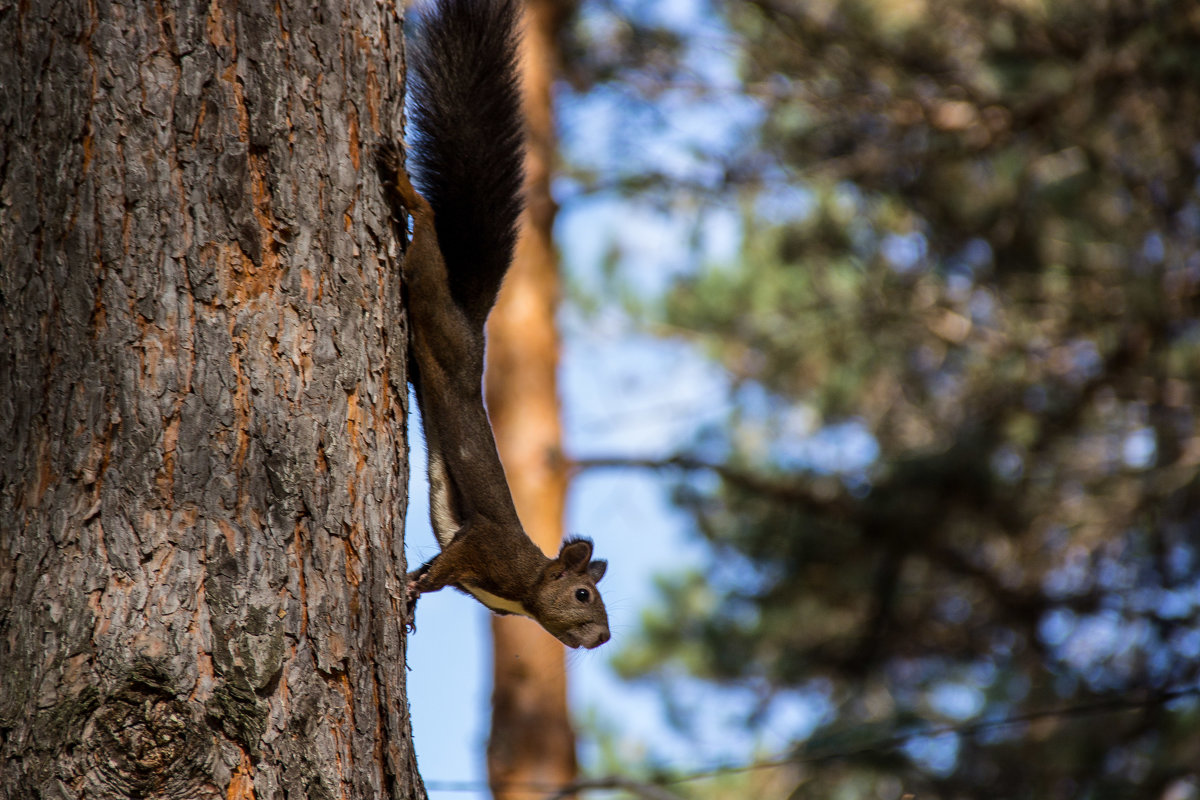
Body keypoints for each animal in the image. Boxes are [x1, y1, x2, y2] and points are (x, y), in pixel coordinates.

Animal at [379, 0, 614, 652]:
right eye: (583, 595)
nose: (603, 638)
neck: (527, 588)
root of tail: (474, 325)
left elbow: (437, 574)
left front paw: (412, 595)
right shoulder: (486, 548)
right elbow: (444, 566)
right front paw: (411, 588)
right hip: (433, 302)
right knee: (428, 236)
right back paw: (405, 191)